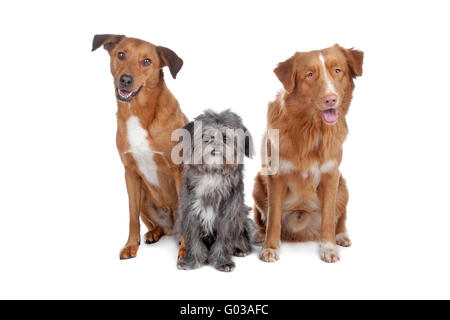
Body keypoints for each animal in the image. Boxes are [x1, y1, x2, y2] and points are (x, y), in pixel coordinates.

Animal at [92, 35, 187, 258]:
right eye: (121, 55)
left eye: (147, 61)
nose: (125, 80)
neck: (138, 111)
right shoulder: (130, 173)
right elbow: (132, 217)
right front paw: (130, 245)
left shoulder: (178, 170)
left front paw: (186, 251)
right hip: (144, 197)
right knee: (155, 225)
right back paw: (154, 233)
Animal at [177, 109, 255, 272]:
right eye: (205, 135)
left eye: (225, 137)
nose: (214, 141)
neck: (212, 174)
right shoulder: (191, 214)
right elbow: (193, 240)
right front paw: (191, 262)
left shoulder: (228, 216)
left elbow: (224, 241)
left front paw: (222, 262)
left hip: (245, 221)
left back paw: (240, 249)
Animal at [253, 45, 362, 264]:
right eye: (309, 75)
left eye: (337, 70)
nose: (330, 99)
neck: (311, 130)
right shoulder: (276, 176)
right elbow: (273, 218)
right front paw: (270, 248)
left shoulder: (331, 175)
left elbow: (328, 218)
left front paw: (328, 248)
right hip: (259, 182)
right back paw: (259, 234)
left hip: (343, 185)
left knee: (340, 218)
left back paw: (341, 236)